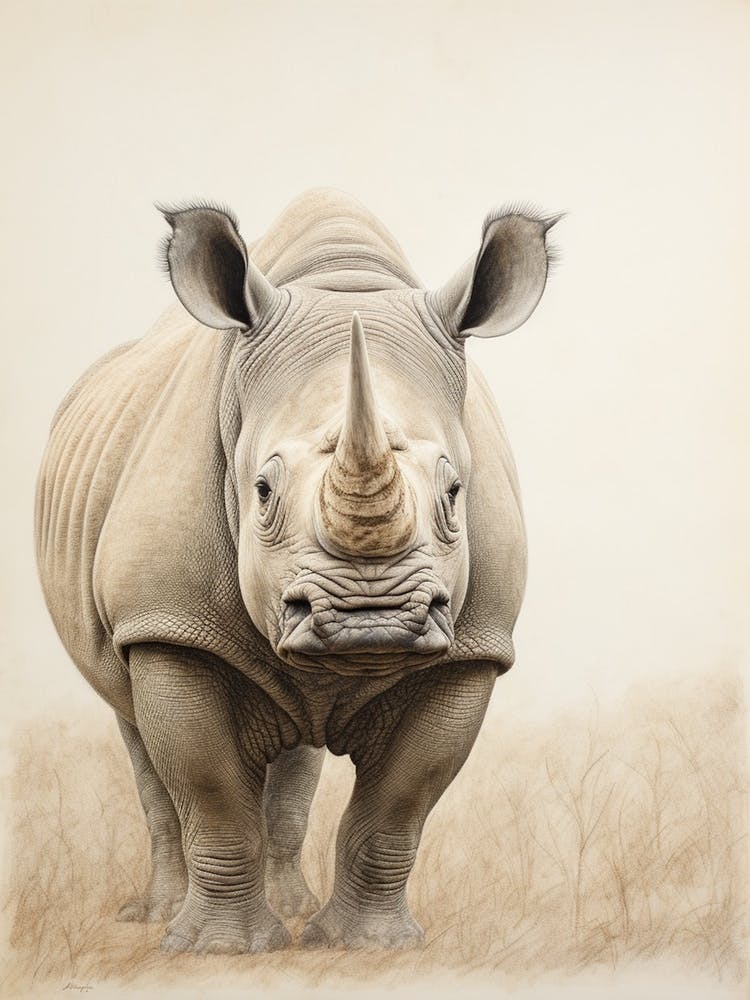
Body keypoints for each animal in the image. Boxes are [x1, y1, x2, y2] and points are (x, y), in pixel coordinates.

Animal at [35, 189, 557, 954]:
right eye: (261, 491)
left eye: (456, 492)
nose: (372, 620)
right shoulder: (165, 622)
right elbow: (209, 790)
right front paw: (219, 952)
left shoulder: (473, 644)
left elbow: (400, 803)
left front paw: (369, 947)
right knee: (136, 729)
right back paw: (158, 918)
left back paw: (293, 908)